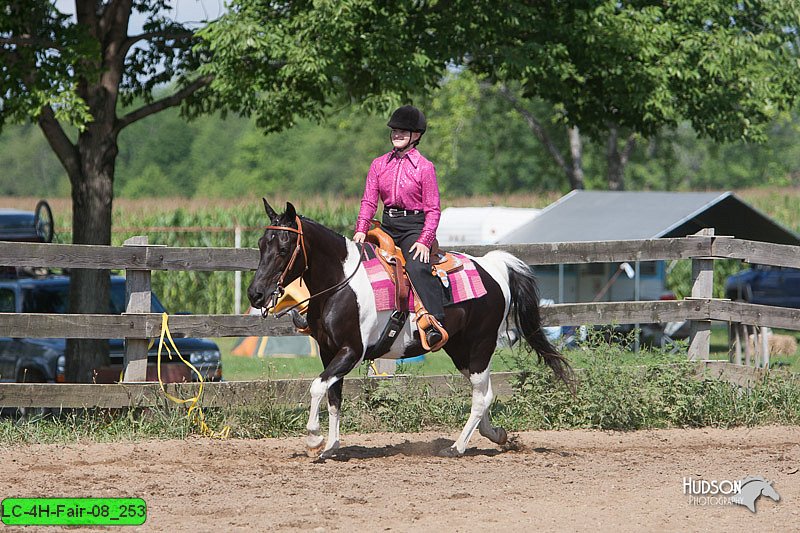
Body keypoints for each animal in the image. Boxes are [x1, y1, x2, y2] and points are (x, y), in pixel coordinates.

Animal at [247, 200, 572, 458]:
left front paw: (314, 439)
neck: (341, 284)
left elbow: (317, 386)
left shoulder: (352, 351)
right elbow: (333, 396)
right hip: (459, 349)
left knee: (481, 396)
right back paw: (496, 435)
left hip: (481, 345)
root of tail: (493, 267)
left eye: (284, 248)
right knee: (484, 392)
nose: (255, 294)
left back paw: (456, 447)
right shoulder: (329, 351)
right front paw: (330, 447)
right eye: (262, 244)